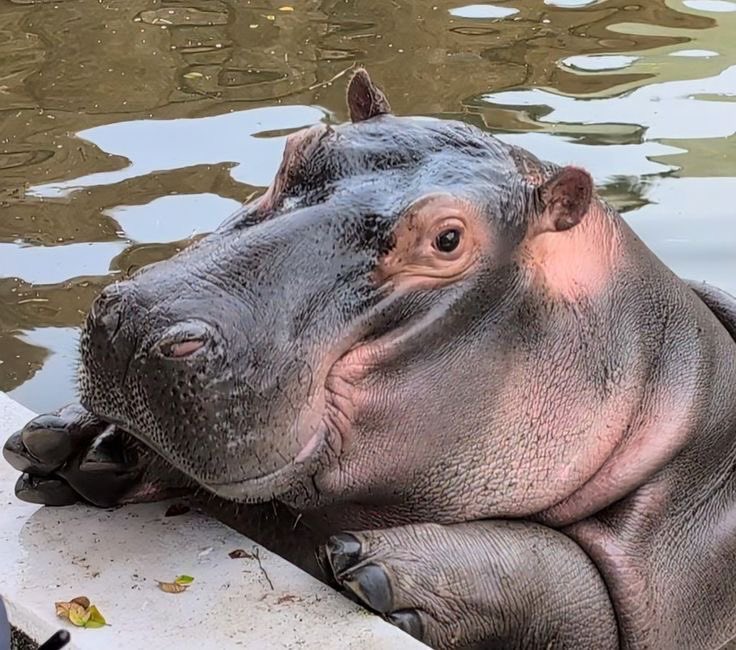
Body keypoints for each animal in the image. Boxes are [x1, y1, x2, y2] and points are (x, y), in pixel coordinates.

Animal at [4, 69, 736, 650]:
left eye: (448, 240)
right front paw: (86, 443)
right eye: (297, 146)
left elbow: (583, 588)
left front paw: (392, 574)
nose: (137, 325)